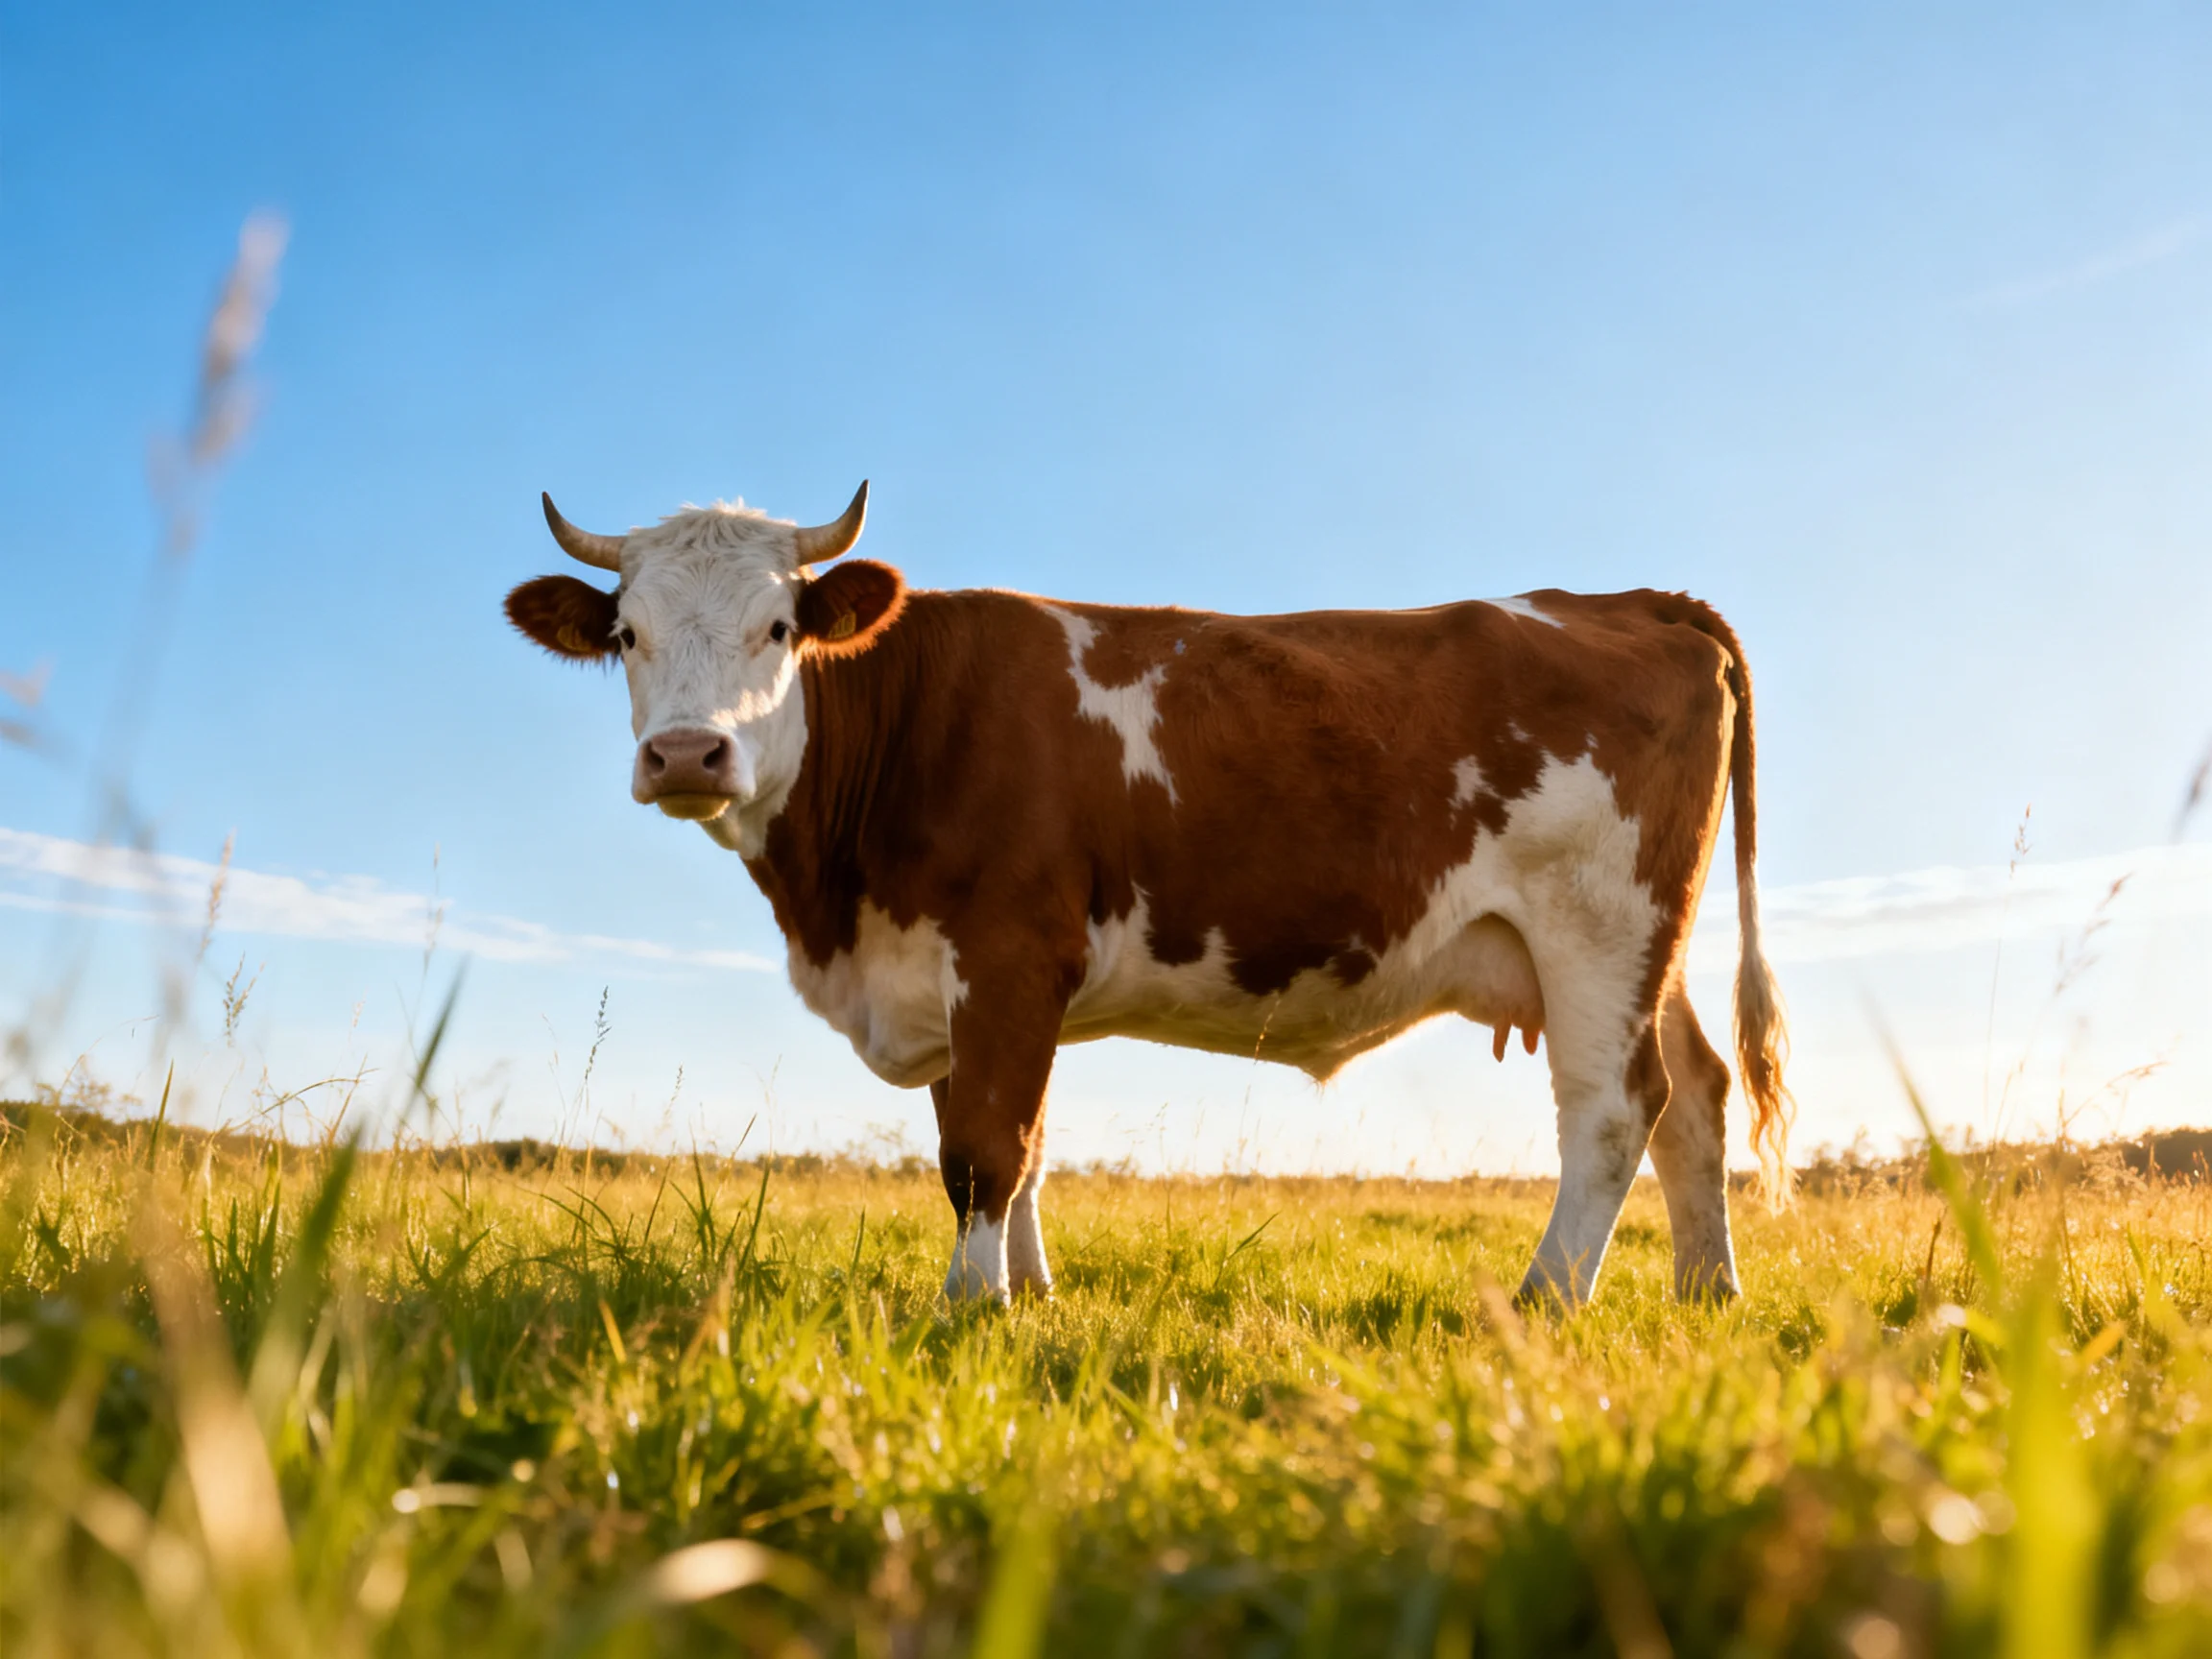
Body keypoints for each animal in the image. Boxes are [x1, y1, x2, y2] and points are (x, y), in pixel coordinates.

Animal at [505, 483, 1791, 1309]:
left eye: (778, 628)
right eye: (627, 634)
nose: (686, 754)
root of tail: (1630, 598)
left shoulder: (1008, 954)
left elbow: (985, 1148)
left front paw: (971, 1311)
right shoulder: (957, 979)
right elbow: (1013, 1146)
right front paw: (1033, 1295)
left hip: (1598, 928)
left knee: (1616, 1106)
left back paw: (1547, 1298)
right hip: (1647, 946)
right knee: (1697, 1094)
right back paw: (1705, 1292)